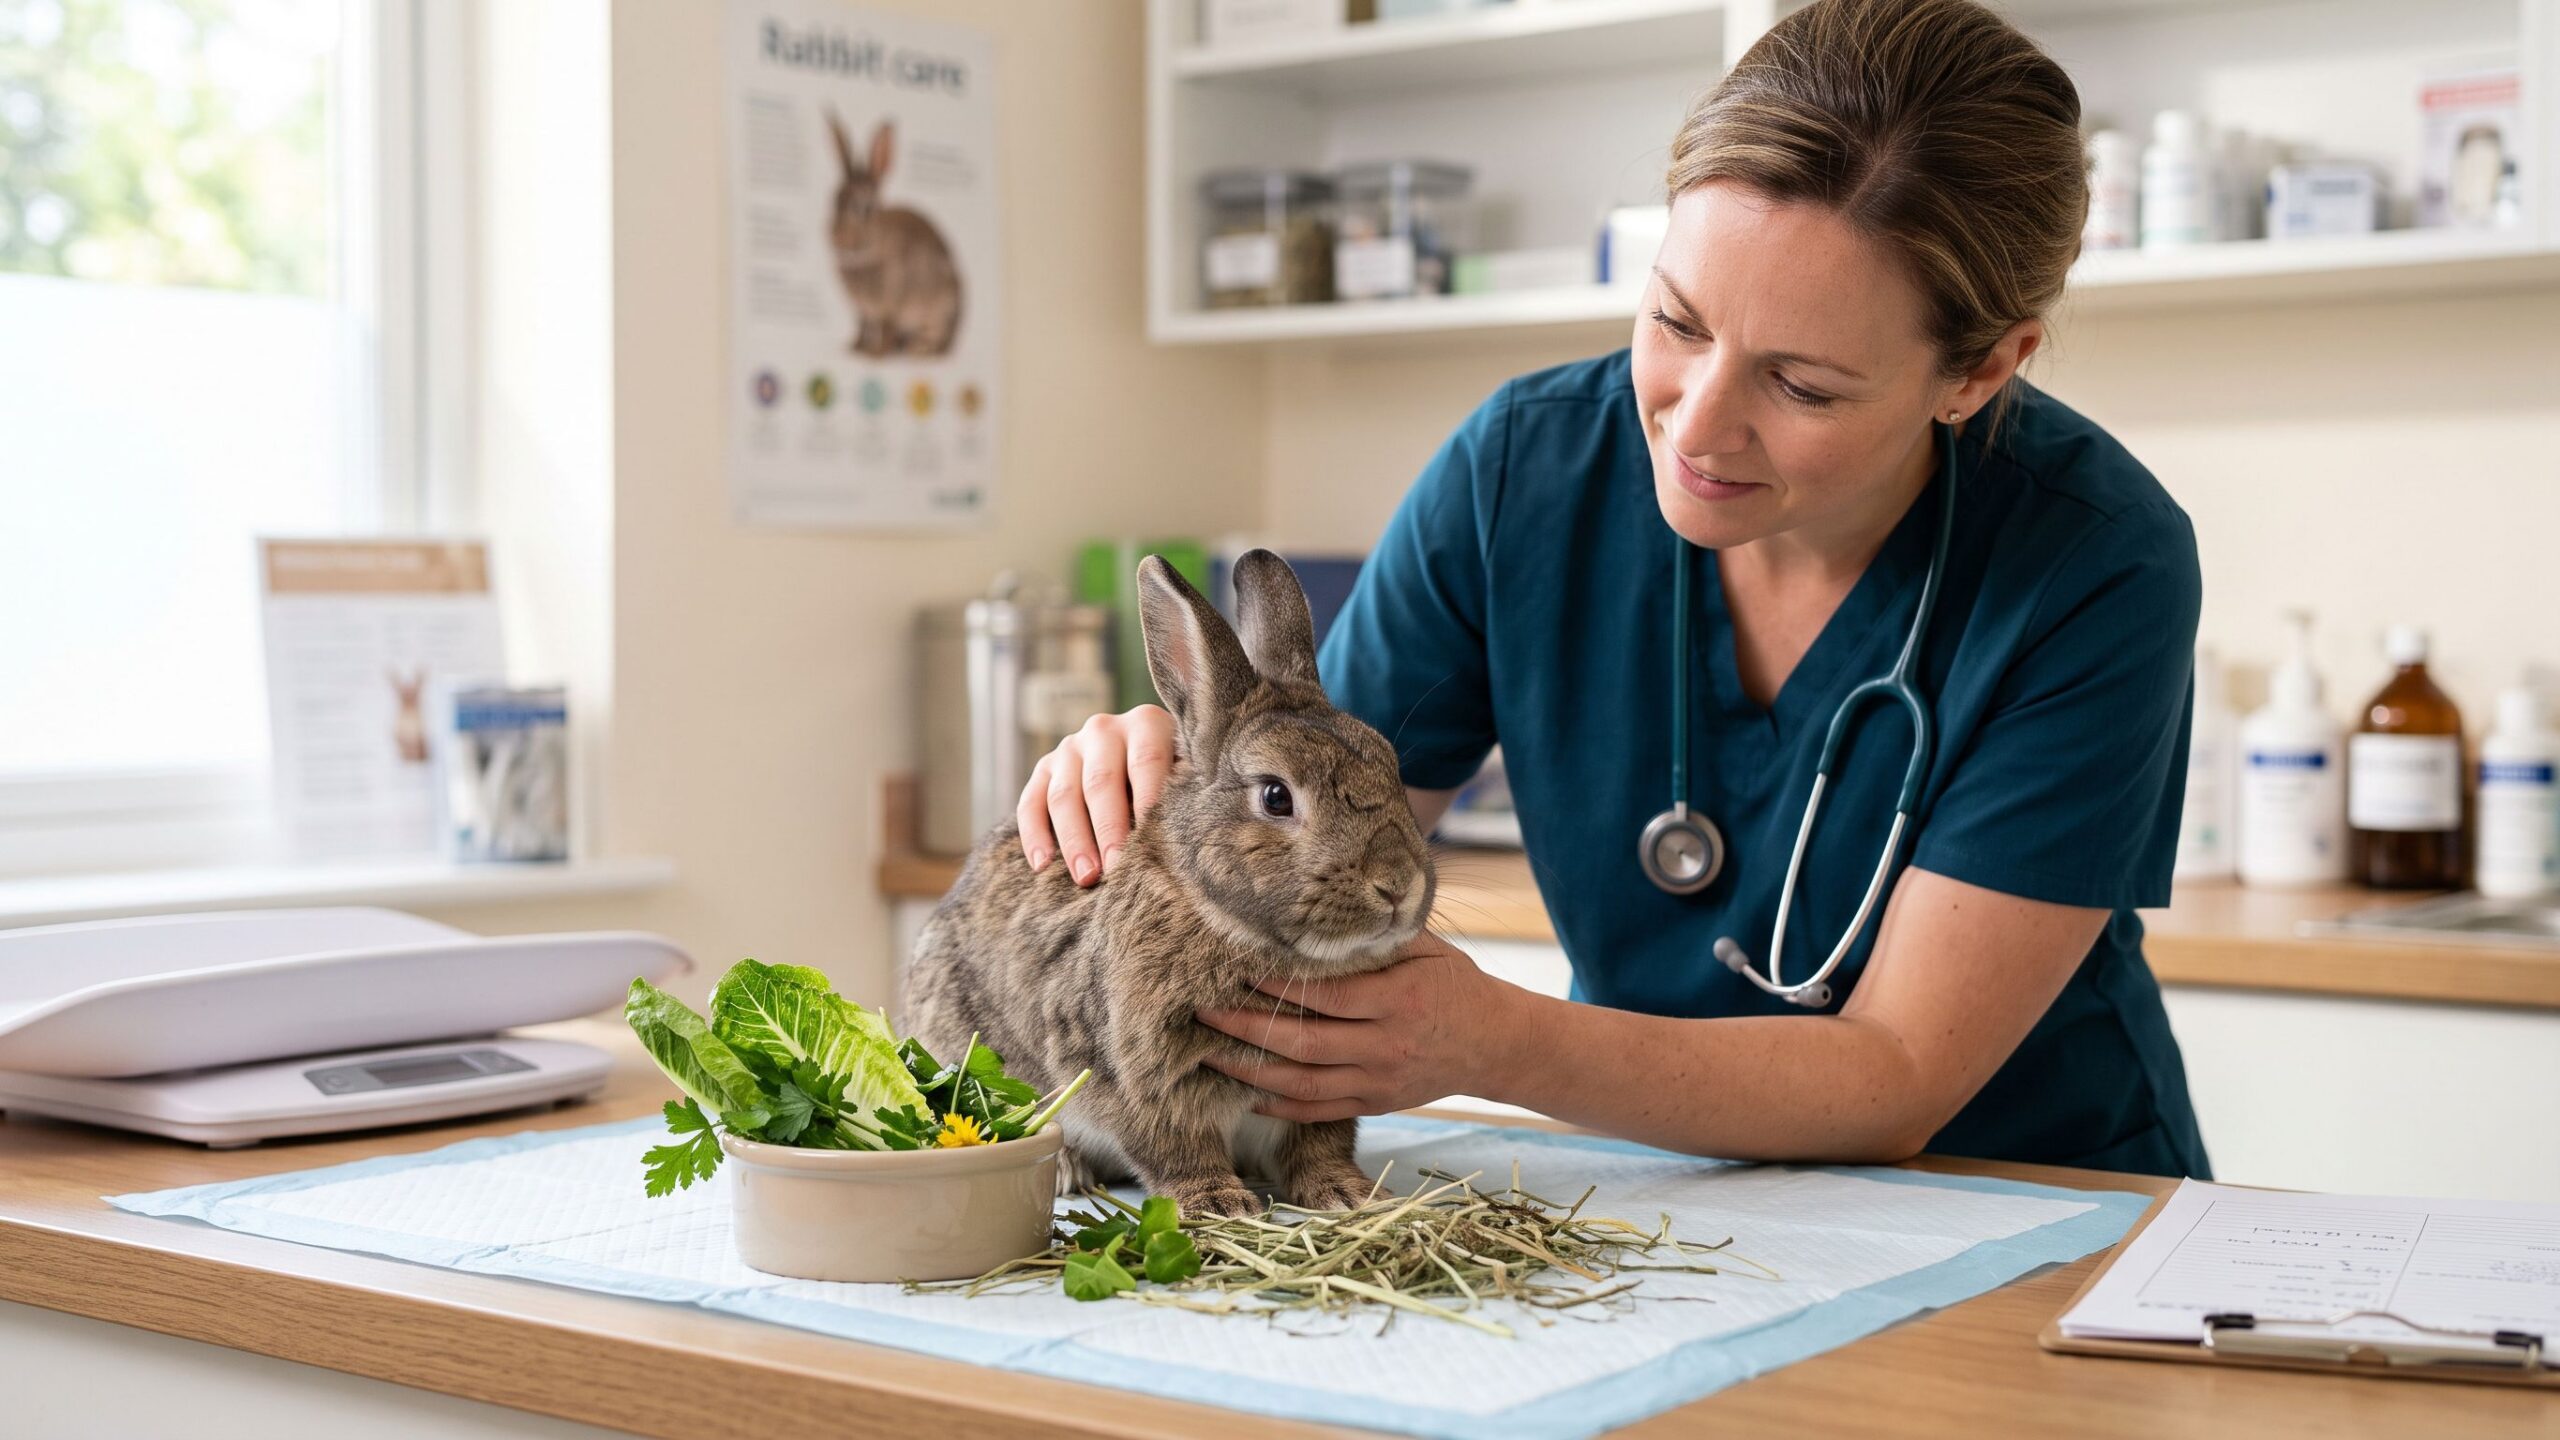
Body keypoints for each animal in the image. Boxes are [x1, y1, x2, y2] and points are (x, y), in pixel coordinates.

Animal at [826, 113, 963, 360]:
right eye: (834, 201)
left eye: (865, 209)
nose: (837, 239)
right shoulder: (862, 311)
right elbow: (862, 327)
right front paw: (855, 349)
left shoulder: (891, 306)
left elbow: (886, 328)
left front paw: (876, 356)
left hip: (941, 310)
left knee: (939, 343)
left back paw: (920, 349)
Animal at [903, 552, 1436, 1219]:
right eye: (1276, 796)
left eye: (1392, 767)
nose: (1397, 885)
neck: (1217, 914)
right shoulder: (1141, 1074)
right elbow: (1175, 1145)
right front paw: (1217, 1204)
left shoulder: (1324, 1094)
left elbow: (1319, 1148)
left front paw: (1348, 1194)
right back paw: (1068, 1171)